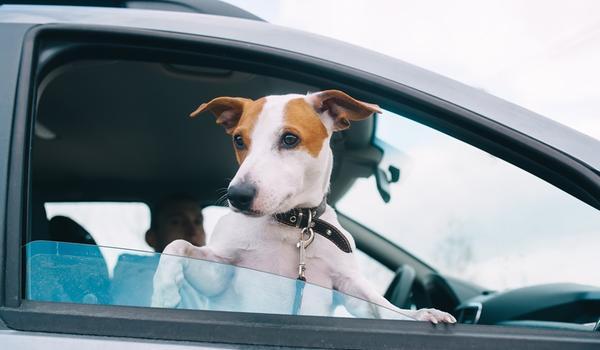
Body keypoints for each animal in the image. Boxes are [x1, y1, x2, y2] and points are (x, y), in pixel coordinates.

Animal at [152, 89, 458, 324]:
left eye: (290, 139)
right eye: (239, 140)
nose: (237, 195)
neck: (292, 225)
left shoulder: (348, 285)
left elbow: (379, 303)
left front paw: (419, 313)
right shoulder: (219, 272)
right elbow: (177, 246)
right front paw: (163, 294)